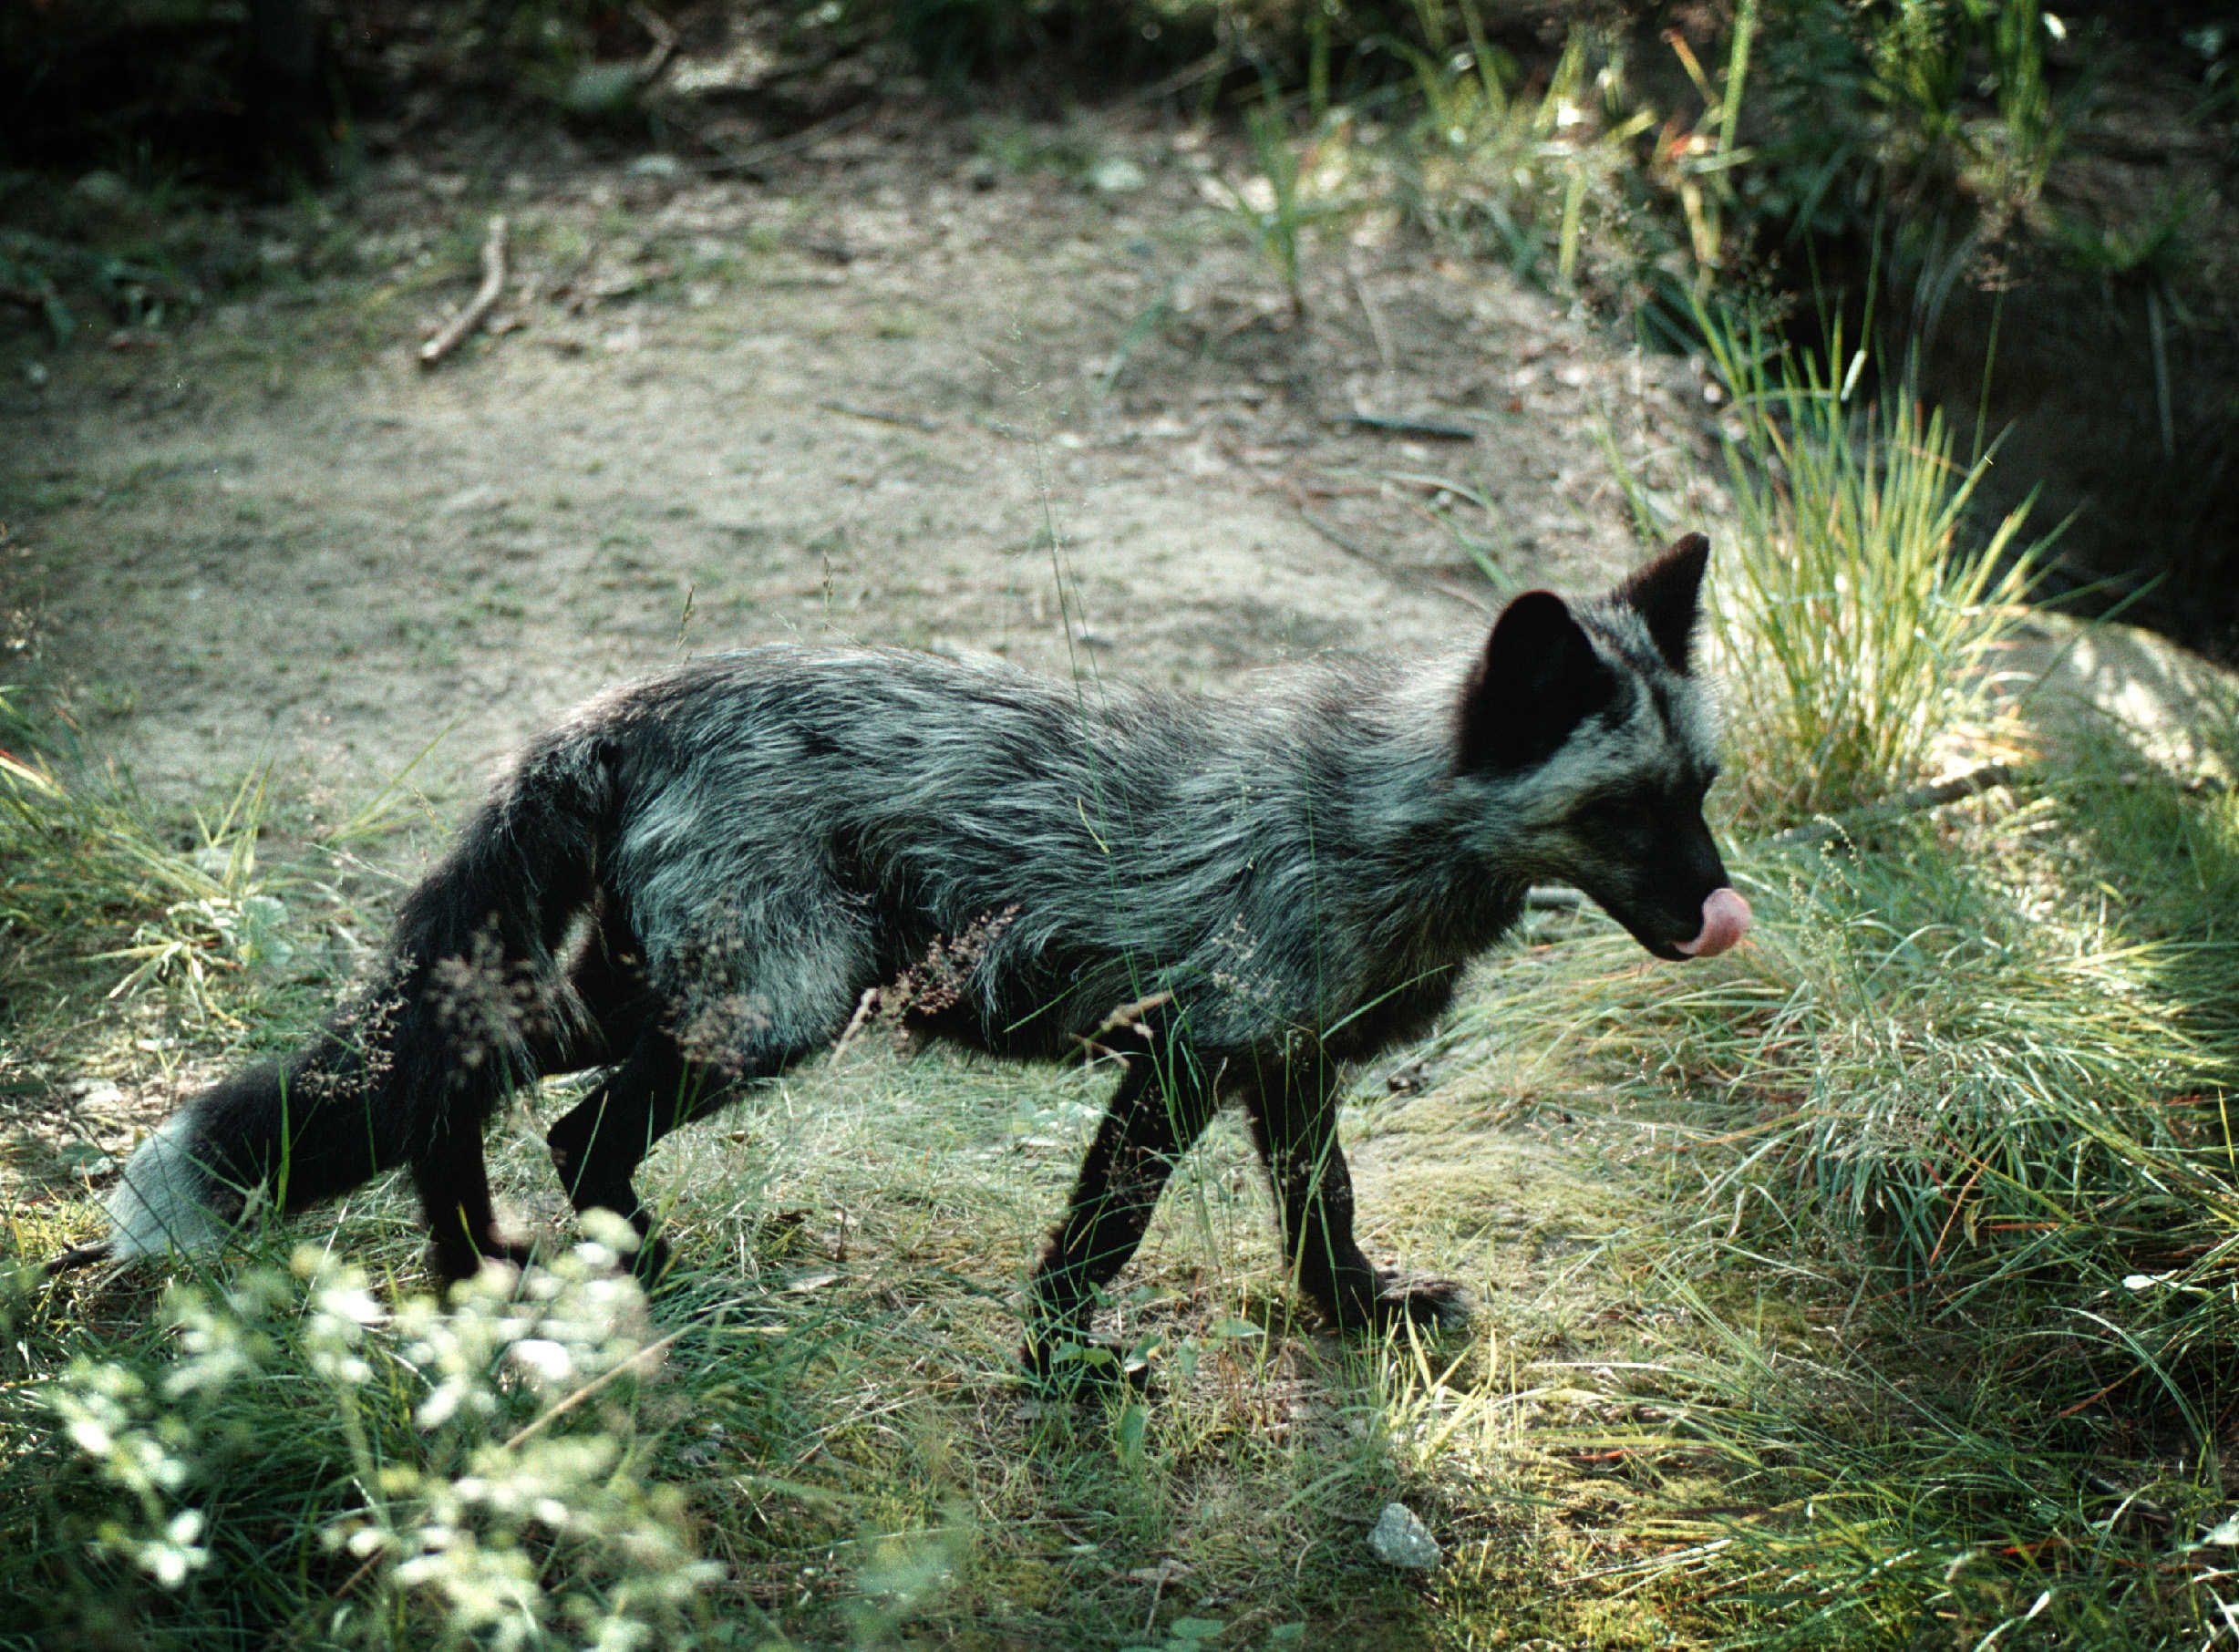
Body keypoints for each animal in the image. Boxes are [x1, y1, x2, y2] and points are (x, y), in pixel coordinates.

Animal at [78, 528, 1746, 1360]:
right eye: (1623, 811)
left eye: (1705, 792)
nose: (1722, 910)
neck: (1367, 815)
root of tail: (623, 706)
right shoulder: (1184, 1059)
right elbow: (1095, 1241)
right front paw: (1070, 1374)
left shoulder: (1285, 1068)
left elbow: (1322, 1217)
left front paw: (1357, 1321)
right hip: (773, 1009)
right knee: (564, 1126)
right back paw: (625, 1268)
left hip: (664, 989)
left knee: (459, 1078)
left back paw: (479, 1263)